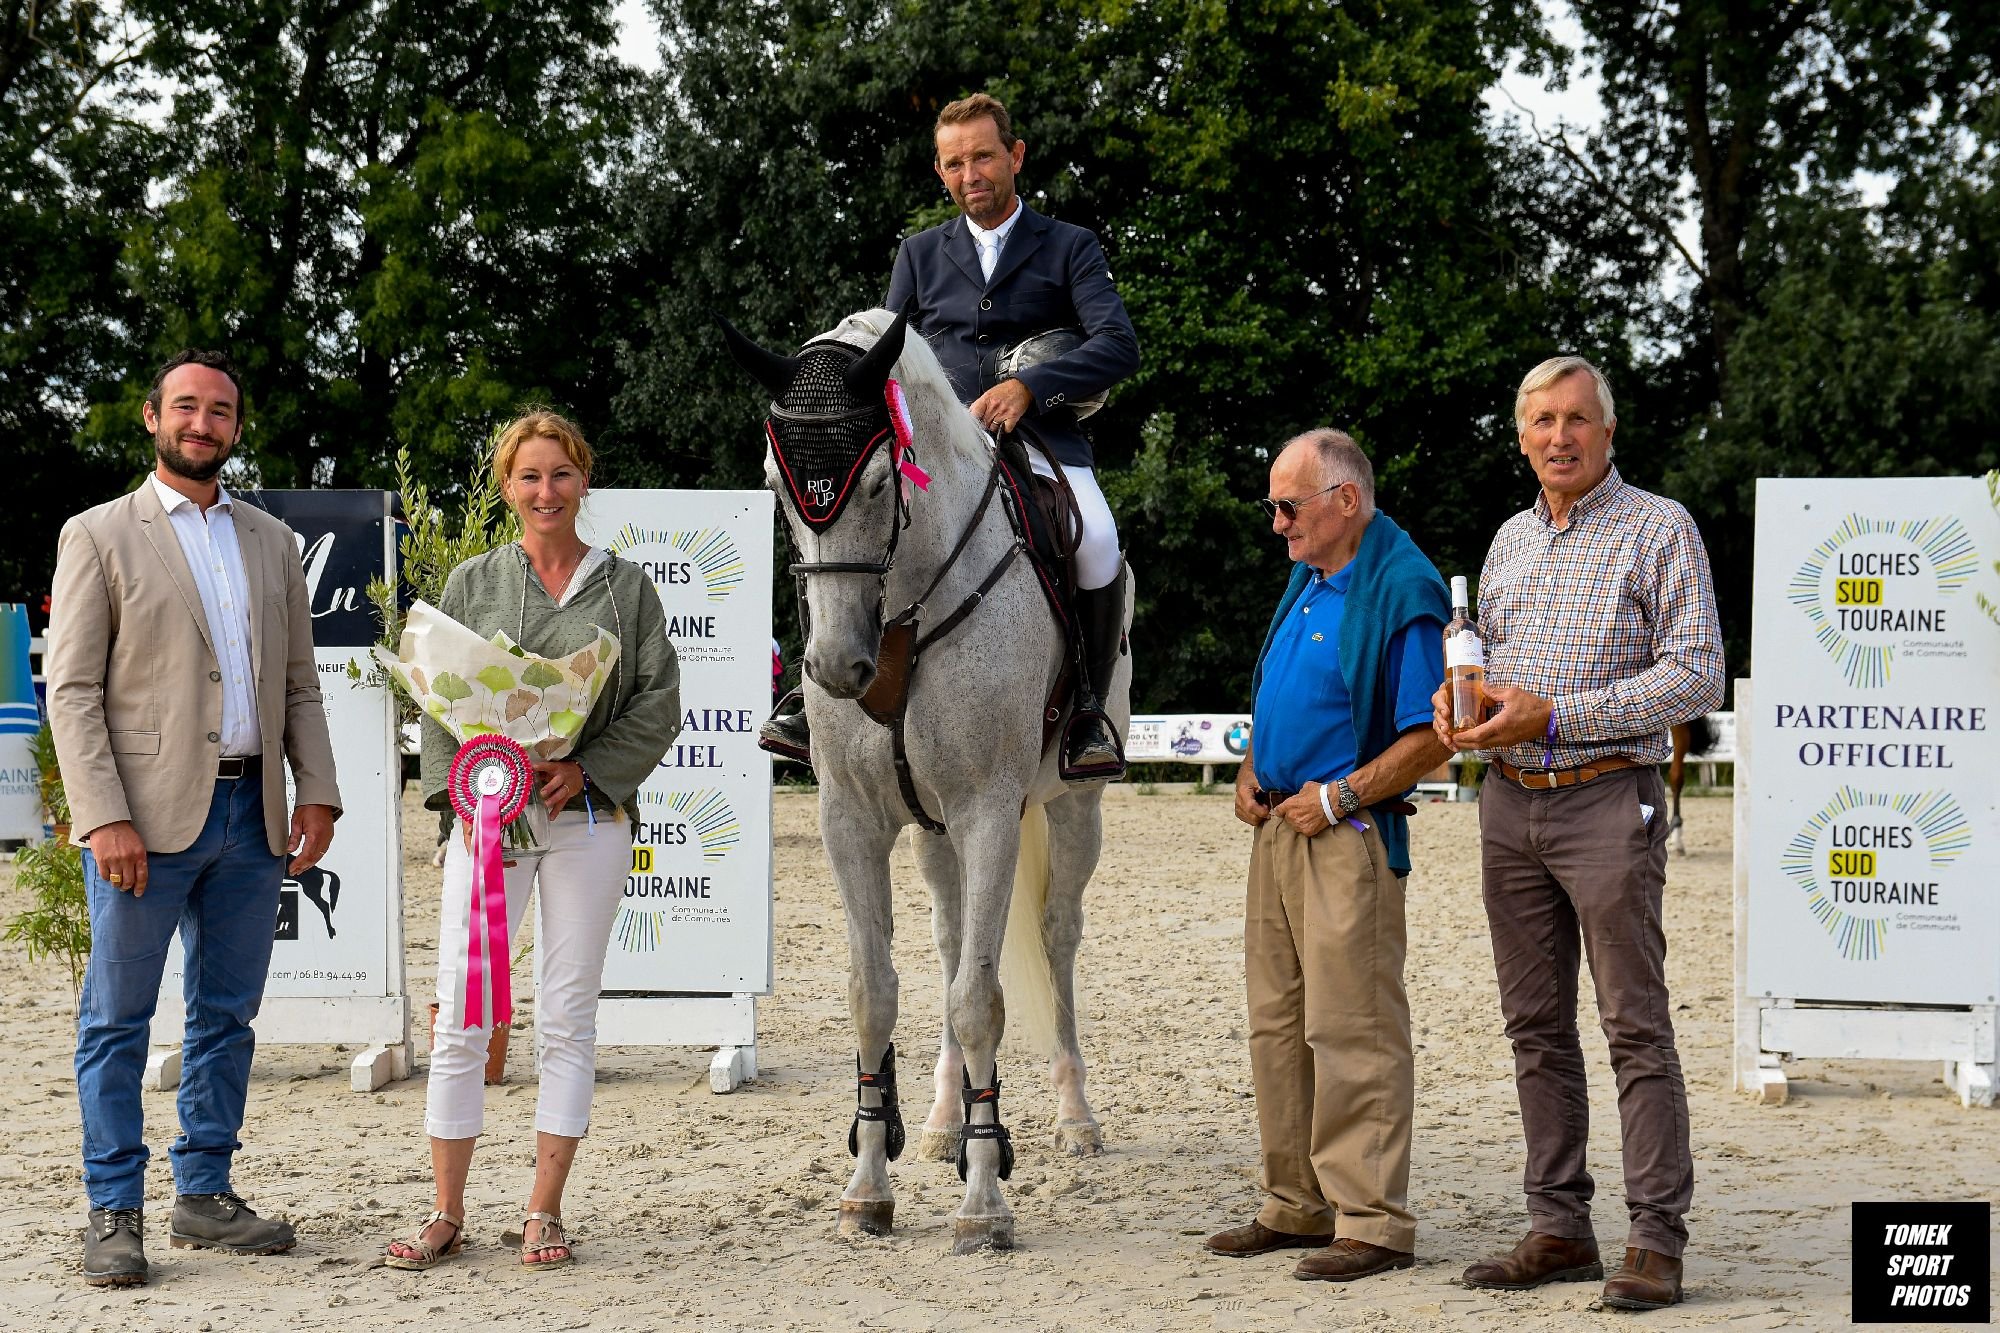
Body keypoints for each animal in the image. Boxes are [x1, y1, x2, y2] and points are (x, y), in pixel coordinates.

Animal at [720, 306, 1136, 1248]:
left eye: (880, 482)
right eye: (774, 481)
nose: (837, 667)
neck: (905, 606)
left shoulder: (988, 812)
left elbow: (980, 998)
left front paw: (985, 1201)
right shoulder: (853, 821)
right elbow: (875, 993)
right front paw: (870, 1182)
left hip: (1075, 809)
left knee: (1055, 936)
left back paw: (1074, 1115)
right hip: (934, 831)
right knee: (949, 944)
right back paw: (946, 1119)